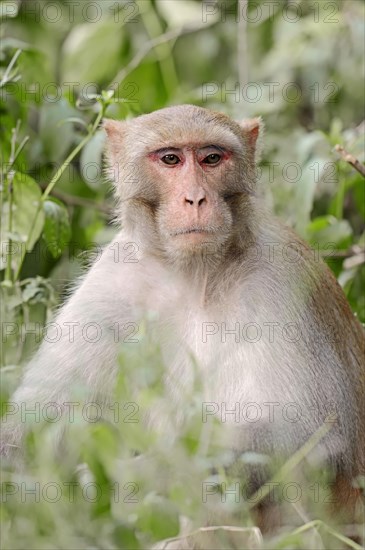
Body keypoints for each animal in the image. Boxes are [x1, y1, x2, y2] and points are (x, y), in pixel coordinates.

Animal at [0, 104, 364, 536]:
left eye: (212, 158)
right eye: (170, 159)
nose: (196, 198)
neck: (196, 274)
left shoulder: (284, 279)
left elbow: (312, 437)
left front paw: (132, 478)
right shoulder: (110, 284)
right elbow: (28, 434)